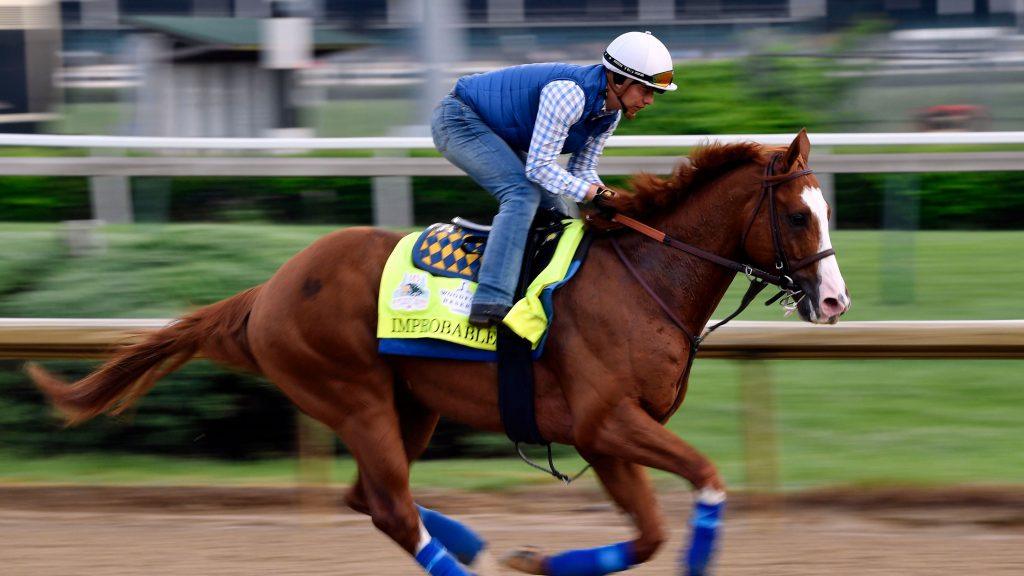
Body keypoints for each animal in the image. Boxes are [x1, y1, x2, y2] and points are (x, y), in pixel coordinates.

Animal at [29, 130, 847, 573]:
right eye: (798, 216)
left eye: (827, 209)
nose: (835, 301)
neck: (642, 277)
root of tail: (268, 289)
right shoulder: (606, 422)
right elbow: (705, 483)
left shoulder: (607, 435)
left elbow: (648, 535)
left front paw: (534, 558)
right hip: (352, 396)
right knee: (390, 507)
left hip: (409, 406)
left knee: (368, 498)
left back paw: (475, 545)